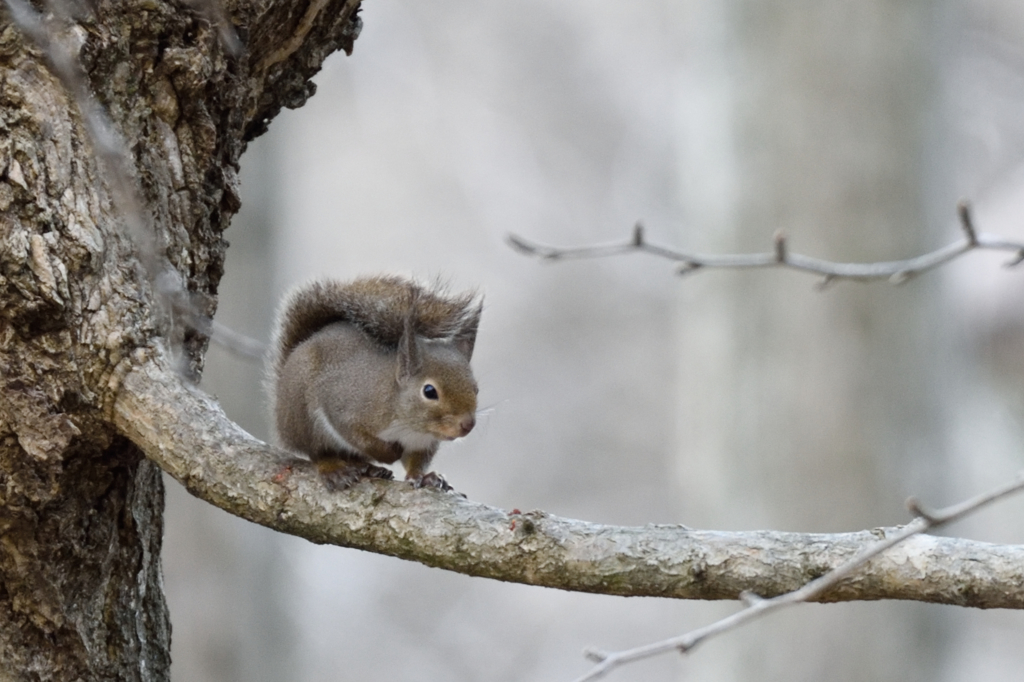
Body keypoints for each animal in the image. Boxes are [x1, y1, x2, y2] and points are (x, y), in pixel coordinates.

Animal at [268, 274, 483, 491]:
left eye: (476, 389)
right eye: (429, 391)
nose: (467, 425)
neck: (409, 424)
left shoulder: (423, 442)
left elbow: (416, 462)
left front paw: (424, 476)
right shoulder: (346, 410)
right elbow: (357, 436)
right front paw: (389, 453)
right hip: (303, 417)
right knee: (318, 452)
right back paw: (334, 470)